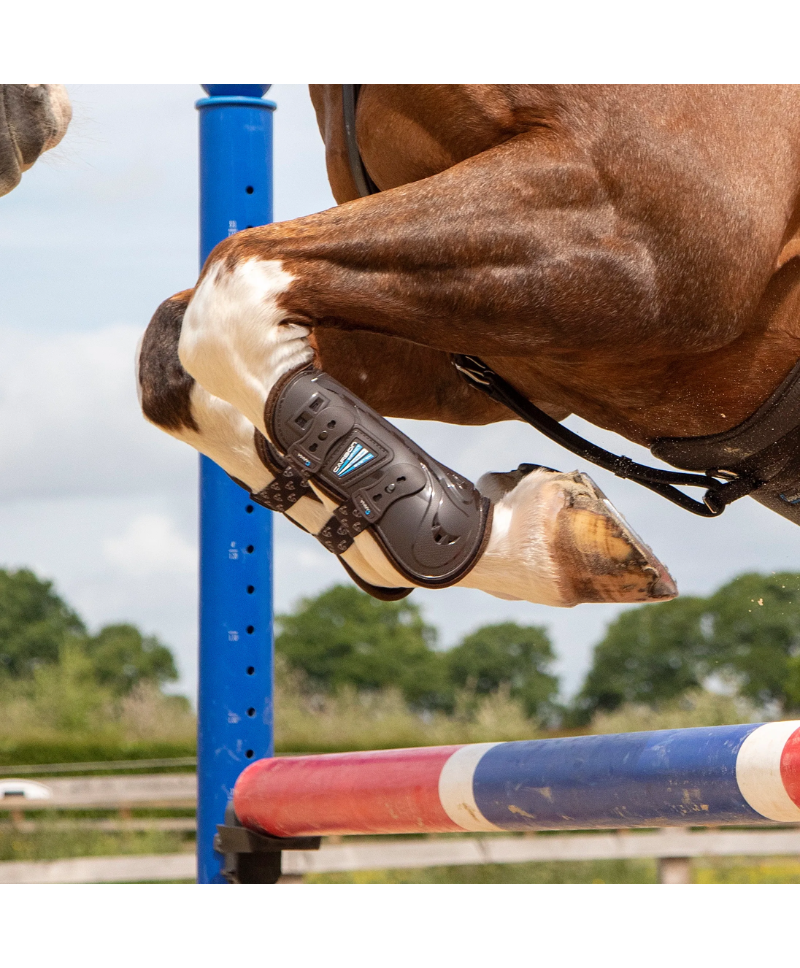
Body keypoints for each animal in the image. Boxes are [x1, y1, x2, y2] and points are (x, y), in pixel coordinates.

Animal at [134, 87, 800, 608]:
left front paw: (457, 531)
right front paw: (535, 539)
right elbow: (179, 351)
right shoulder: (501, 359)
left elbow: (236, 289)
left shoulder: (649, 237)